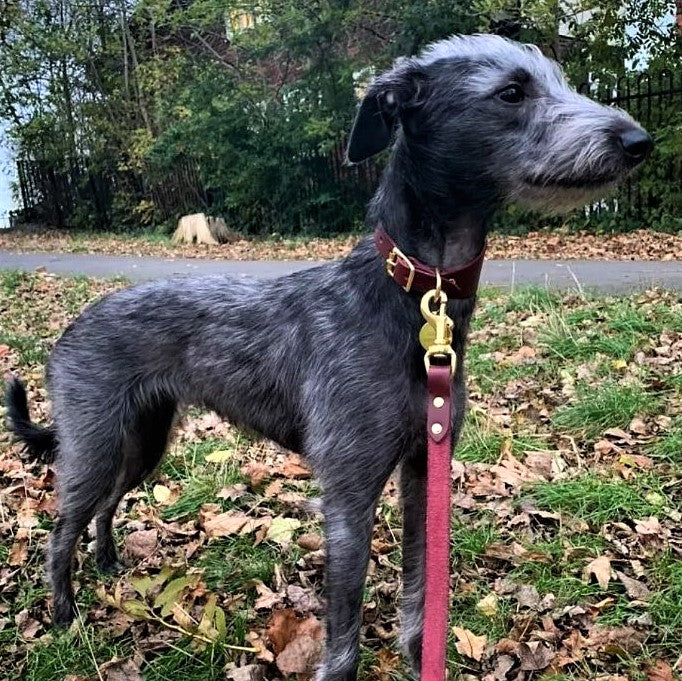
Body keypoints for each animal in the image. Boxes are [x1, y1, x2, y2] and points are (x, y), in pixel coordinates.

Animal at [7, 35, 652, 680]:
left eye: (559, 79)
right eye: (512, 92)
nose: (638, 142)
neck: (410, 298)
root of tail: (71, 329)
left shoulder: (422, 470)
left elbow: (420, 589)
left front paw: (419, 656)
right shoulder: (348, 493)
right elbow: (344, 626)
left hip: (142, 439)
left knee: (105, 503)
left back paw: (107, 563)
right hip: (95, 442)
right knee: (62, 525)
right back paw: (63, 612)